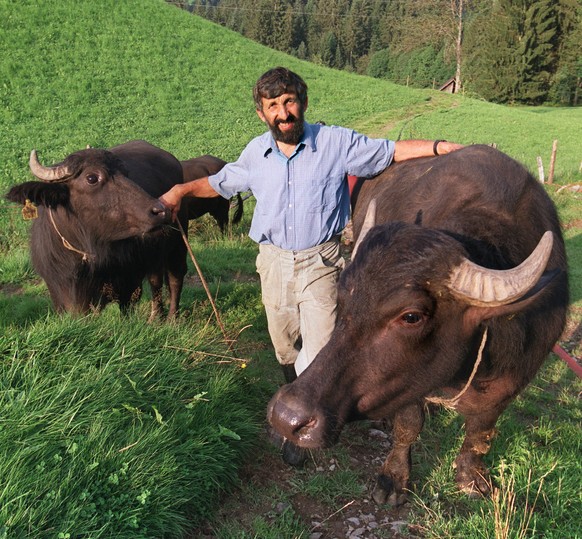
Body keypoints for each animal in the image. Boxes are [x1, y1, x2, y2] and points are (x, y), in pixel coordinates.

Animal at [6, 140, 189, 320]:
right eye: (92, 178)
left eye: (126, 173)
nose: (161, 210)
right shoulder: (60, 295)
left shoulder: (129, 285)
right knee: (155, 279)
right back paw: (156, 317)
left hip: (178, 242)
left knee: (175, 277)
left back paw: (172, 318)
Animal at [270, 144, 572, 506]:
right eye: (343, 295)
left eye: (411, 316)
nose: (287, 415)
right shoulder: (408, 382)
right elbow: (409, 423)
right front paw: (394, 478)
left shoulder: (513, 380)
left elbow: (481, 430)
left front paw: (470, 475)